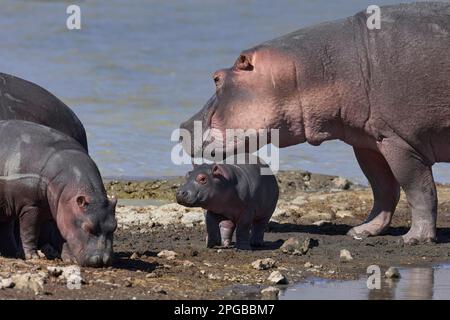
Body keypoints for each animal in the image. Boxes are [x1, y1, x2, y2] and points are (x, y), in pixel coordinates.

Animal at [0, 120, 118, 268]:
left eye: (115, 226)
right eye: (87, 226)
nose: (102, 261)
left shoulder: (60, 210)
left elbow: (61, 234)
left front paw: (70, 259)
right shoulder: (30, 205)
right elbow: (29, 231)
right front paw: (33, 257)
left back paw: (11, 253)